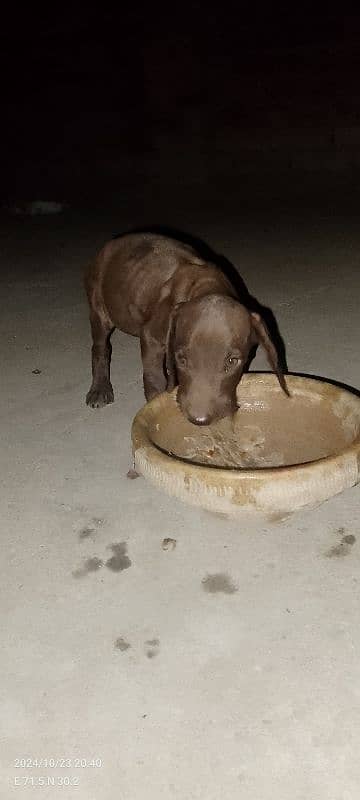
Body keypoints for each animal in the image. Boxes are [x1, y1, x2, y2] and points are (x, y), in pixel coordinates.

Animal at [83, 231, 286, 424]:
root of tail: (113, 242)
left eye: (232, 361)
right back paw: (99, 388)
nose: (199, 420)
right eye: (181, 359)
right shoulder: (151, 337)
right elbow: (154, 379)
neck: (206, 284)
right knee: (100, 348)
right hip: (99, 308)